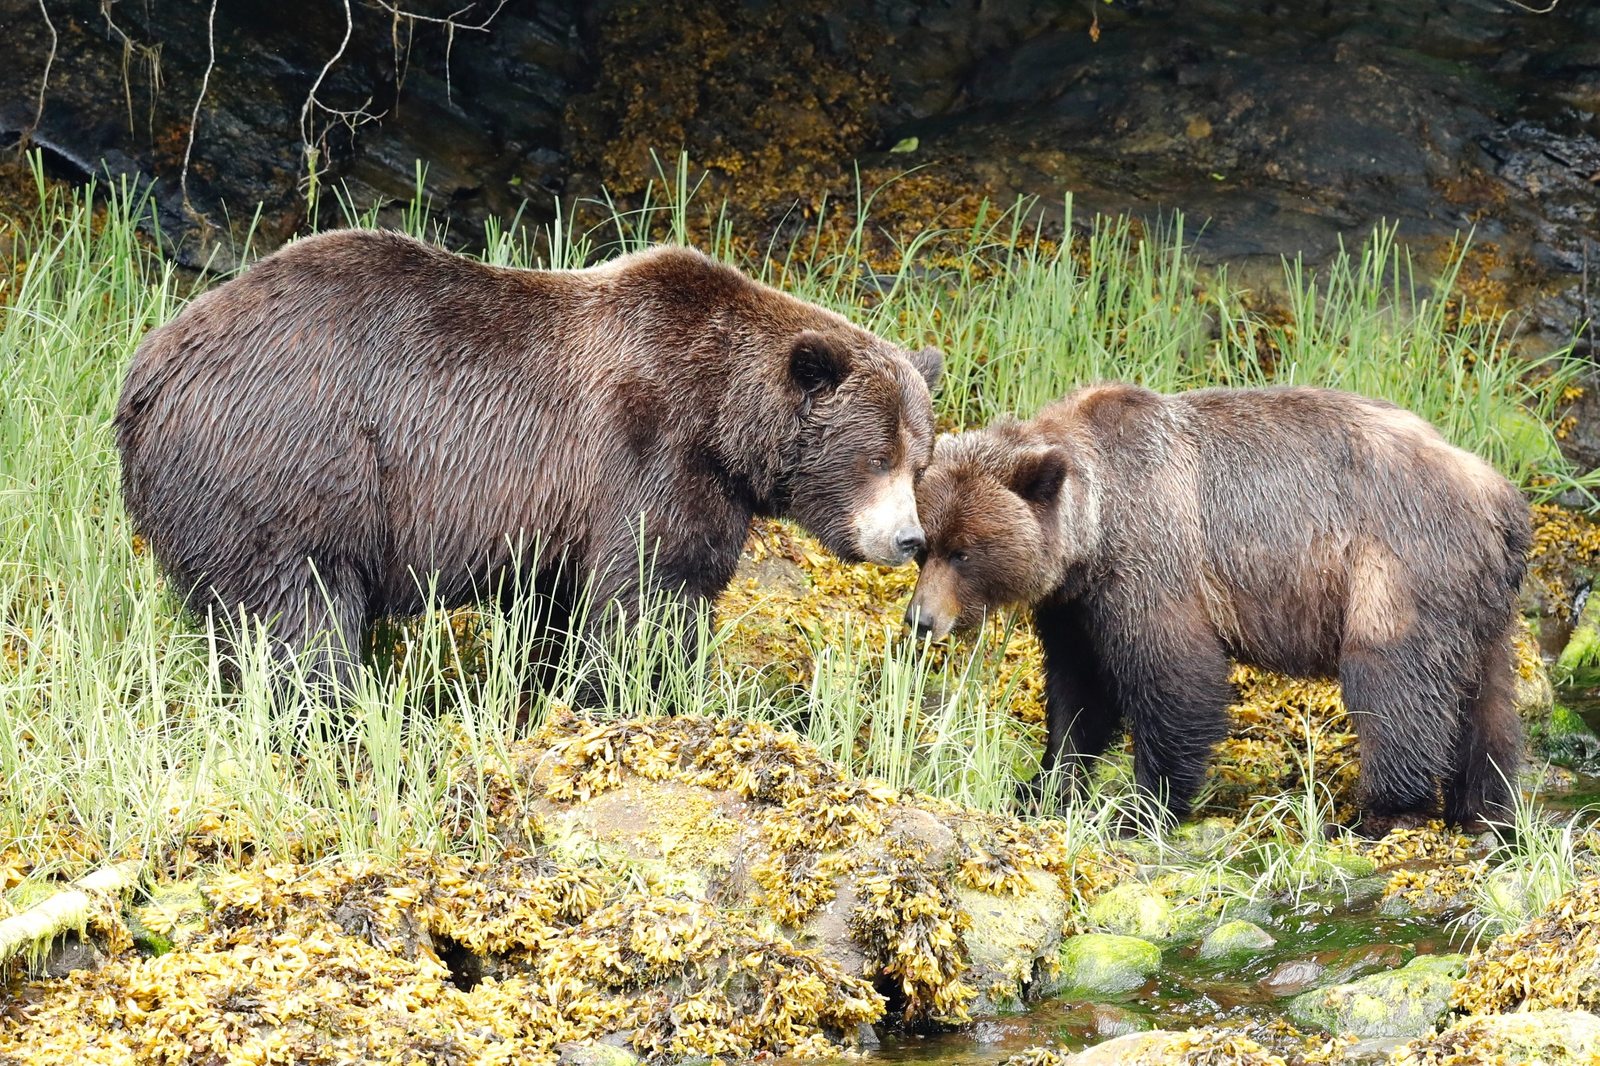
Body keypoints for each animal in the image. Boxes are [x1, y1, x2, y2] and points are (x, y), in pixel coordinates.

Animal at [115, 230, 941, 693]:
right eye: (877, 453)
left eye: (920, 461)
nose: (909, 540)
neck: (722, 419)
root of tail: (147, 376)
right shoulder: (648, 452)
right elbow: (653, 590)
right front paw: (656, 691)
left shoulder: (564, 515)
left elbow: (564, 608)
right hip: (287, 462)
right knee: (297, 614)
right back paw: (330, 709)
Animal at [904, 382, 1531, 830]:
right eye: (922, 547)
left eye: (963, 552)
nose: (921, 621)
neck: (1094, 531)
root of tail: (1503, 498)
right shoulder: (1076, 605)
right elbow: (1078, 692)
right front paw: (1044, 786)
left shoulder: (1153, 562)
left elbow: (1176, 678)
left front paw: (1142, 804)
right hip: (1478, 604)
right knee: (1488, 705)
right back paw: (1483, 806)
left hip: (1399, 564)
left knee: (1393, 684)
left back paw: (1379, 810)